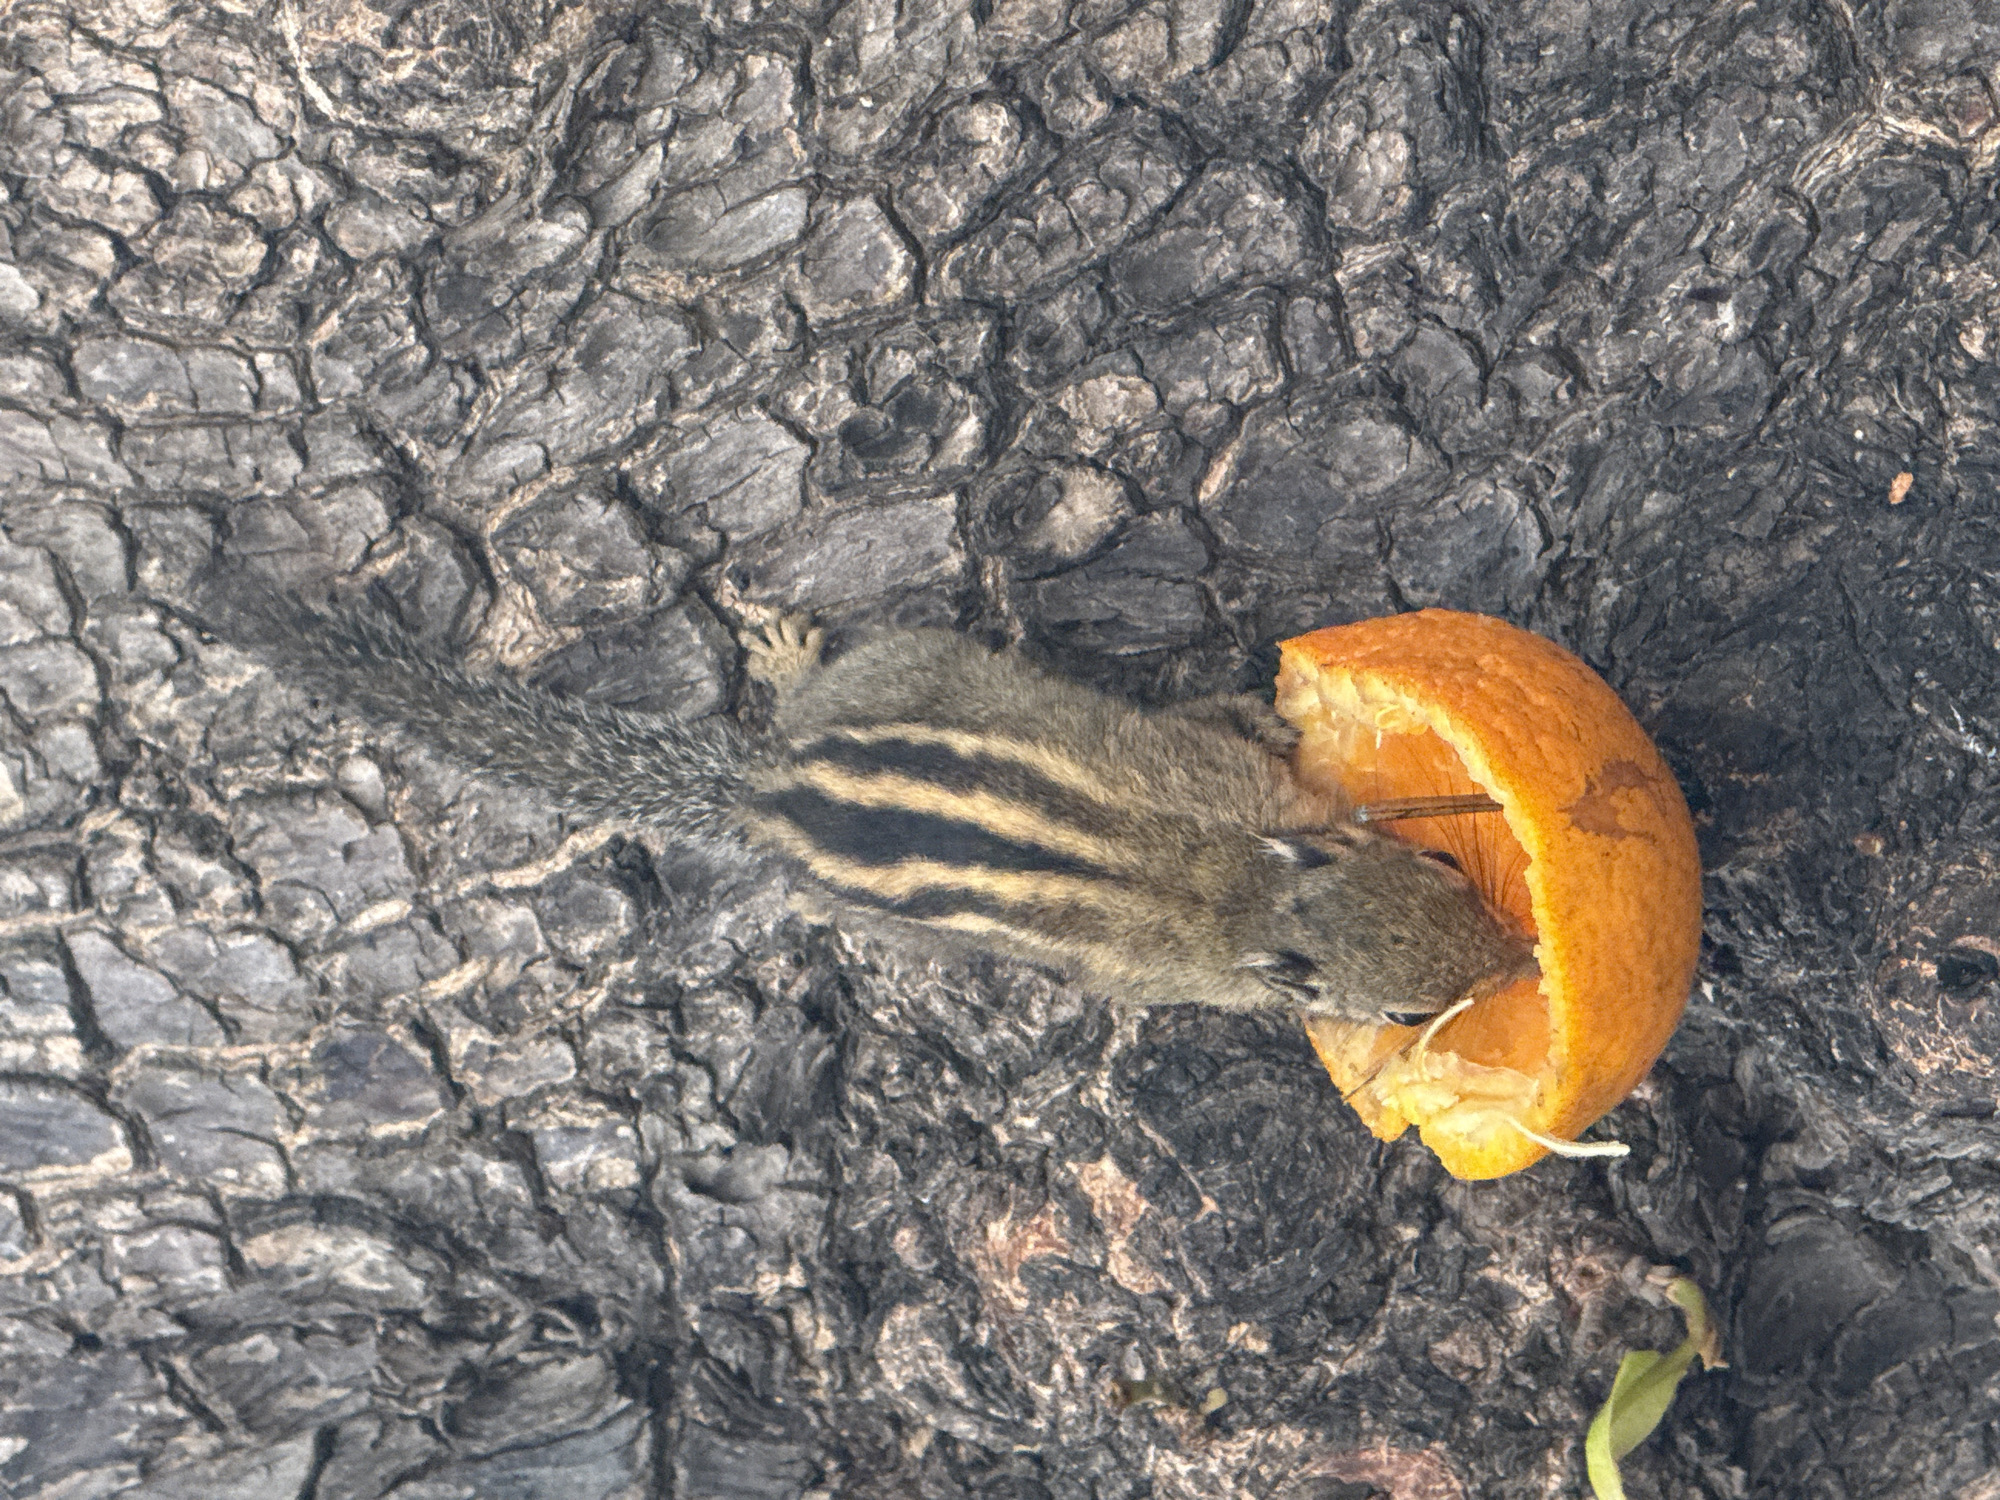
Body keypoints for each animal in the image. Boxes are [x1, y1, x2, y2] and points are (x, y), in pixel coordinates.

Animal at [204, 590, 1536, 1026]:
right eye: (1409, 1010)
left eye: (1446, 877)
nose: (1519, 959)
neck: (1244, 886)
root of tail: (771, 791)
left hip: (904, 667)